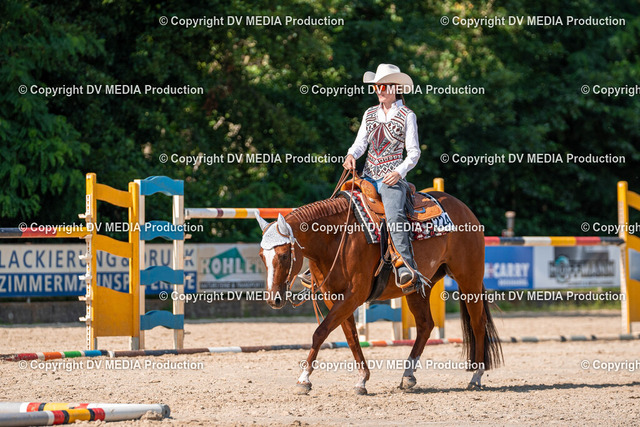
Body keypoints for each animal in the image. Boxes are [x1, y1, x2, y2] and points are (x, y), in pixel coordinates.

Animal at [255, 188, 502, 395]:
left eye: (284, 255)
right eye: (261, 256)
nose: (274, 299)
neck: (336, 238)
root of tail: (463, 208)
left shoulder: (353, 295)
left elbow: (320, 332)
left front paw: (304, 379)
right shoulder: (334, 297)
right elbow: (351, 337)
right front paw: (361, 380)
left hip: (469, 279)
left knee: (478, 322)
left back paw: (476, 377)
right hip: (418, 287)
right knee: (425, 325)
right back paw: (408, 376)